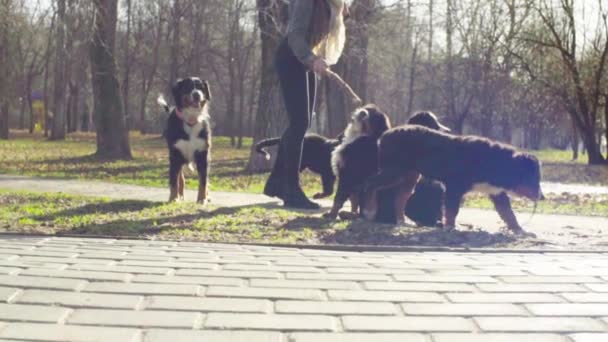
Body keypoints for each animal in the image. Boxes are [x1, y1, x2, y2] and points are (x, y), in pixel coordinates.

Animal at [364, 125, 544, 235]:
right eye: (533, 178)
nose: (542, 197)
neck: (492, 163)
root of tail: (384, 136)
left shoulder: (497, 193)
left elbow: (509, 214)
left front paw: (520, 231)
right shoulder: (454, 186)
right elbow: (451, 210)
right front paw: (450, 227)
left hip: (410, 176)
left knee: (400, 198)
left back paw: (402, 221)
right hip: (393, 171)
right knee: (370, 184)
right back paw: (369, 211)